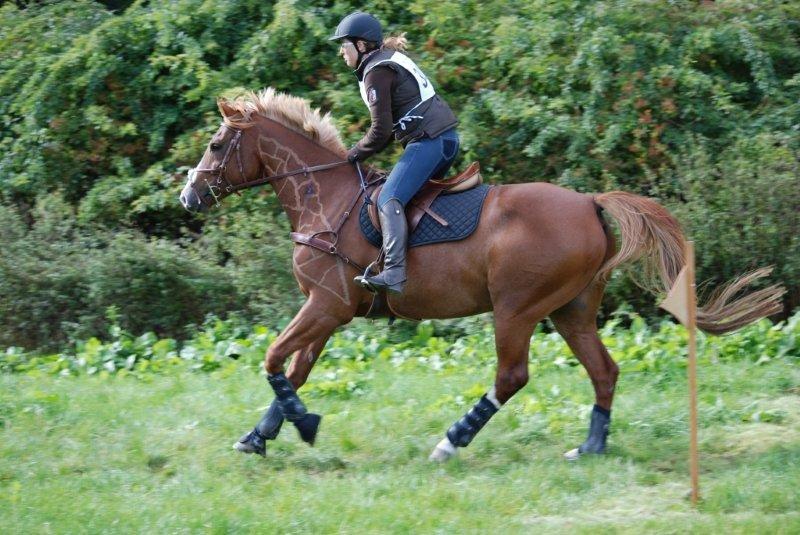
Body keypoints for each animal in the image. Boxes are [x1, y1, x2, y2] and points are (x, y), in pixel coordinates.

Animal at [180, 88, 784, 462]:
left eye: (215, 145)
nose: (188, 197)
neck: (323, 198)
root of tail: (589, 202)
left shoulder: (326, 305)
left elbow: (273, 360)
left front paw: (301, 425)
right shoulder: (330, 312)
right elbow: (294, 371)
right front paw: (260, 437)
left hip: (516, 308)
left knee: (511, 377)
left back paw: (452, 441)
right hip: (571, 310)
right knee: (604, 371)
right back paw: (591, 447)